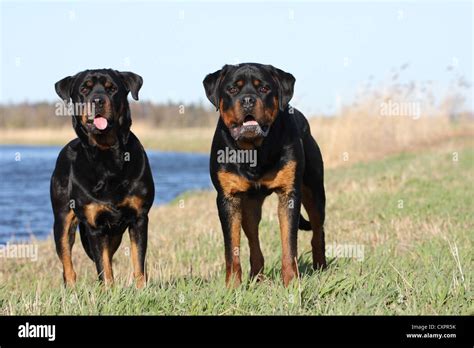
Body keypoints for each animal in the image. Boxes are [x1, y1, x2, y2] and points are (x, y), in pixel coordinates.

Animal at [51, 68, 156, 288]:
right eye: (84, 89)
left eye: (112, 88)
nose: (98, 100)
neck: (107, 156)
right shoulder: (94, 225)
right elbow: (103, 266)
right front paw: (108, 290)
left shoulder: (139, 217)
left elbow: (138, 261)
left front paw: (141, 289)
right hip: (62, 219)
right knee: (67, 262)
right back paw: (71, 290)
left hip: (114, 233)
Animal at [202, 64, 328, 286]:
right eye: (233, 89)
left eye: (264, 89)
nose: (248, 100)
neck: (254, 150)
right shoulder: (228, 199)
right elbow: (231, 249)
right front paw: (232, 287)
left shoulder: (289, 194)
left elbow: (289, 245)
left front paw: (291, 282)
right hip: (249, 206)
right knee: (253, 240)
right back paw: (256, 277)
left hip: (315, 193)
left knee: (317, 231)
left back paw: (321, 266)